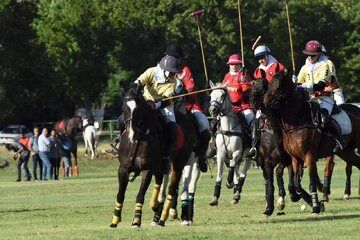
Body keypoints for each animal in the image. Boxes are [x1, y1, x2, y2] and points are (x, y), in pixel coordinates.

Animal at [109, 87, 197, 228]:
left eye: (138, 109)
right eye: (123, 108)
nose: (131, 134)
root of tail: (188, 120)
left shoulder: (147, 169)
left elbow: (140, 195)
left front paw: (136, 221)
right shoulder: (123, 169)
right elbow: (120, 195)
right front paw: (114, 220)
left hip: (178, 164)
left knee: (171, 189)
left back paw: (163, 218)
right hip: (160, 165)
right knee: (159, 182)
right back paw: (156, 207)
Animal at [260, 72, 360, 214]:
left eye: (279, 86)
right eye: (269, 85)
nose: (264, 103)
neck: (296, 122)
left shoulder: (309, 156)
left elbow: (310, 181)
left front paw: (316, 206)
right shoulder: (294, 159)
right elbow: (296, 183)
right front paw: (316, 203)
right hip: (346, 152)